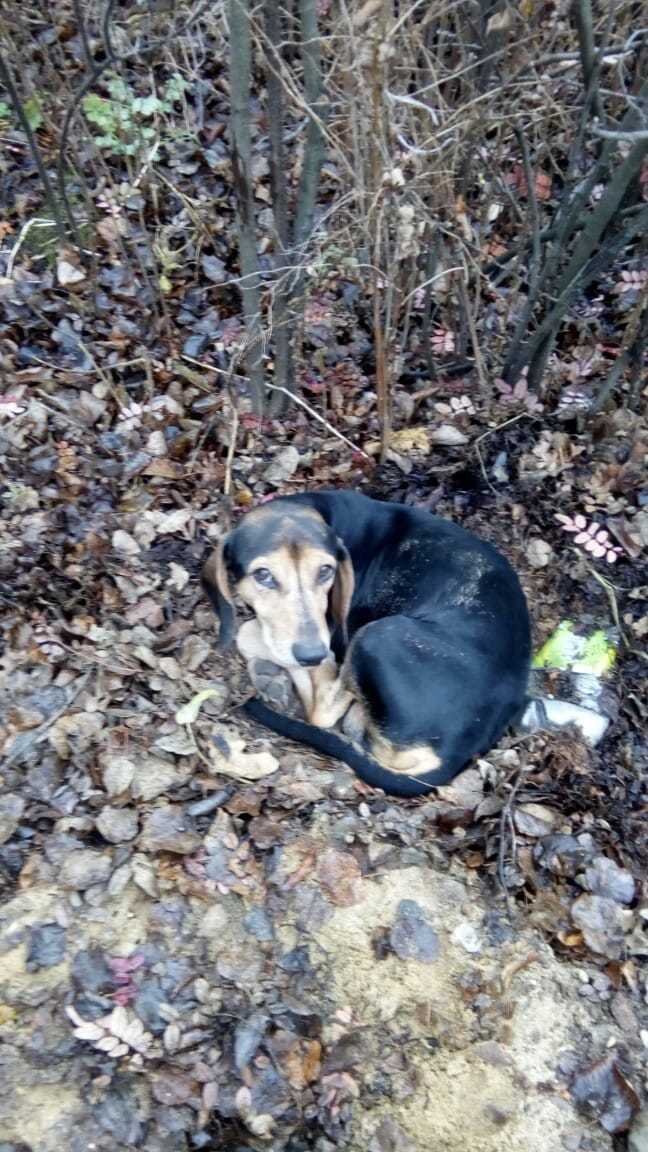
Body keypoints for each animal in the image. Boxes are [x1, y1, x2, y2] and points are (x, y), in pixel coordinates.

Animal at [202, 490, 530, 797]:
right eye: (263, 575)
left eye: (326, 570)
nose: (313, 654)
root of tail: (459, 750)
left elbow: (248, 633)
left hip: (375, 635)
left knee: (322, 712)